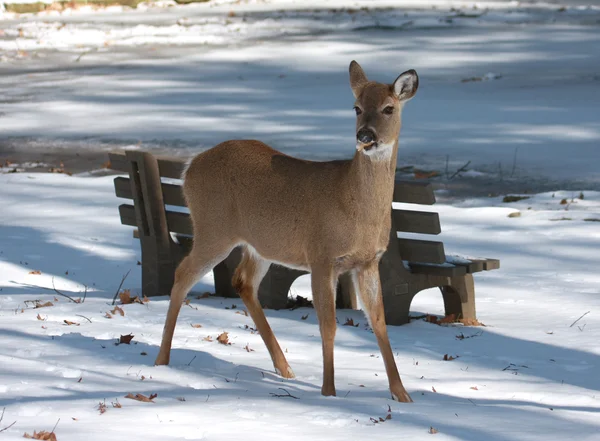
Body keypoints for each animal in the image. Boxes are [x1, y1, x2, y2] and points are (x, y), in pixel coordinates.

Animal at [155, 62, 418, 402]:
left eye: (389, 108)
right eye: (356, 107)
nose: (364, 136)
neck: (356, 207)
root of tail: (188, 167)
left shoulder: (368, 261)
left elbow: (379, 322)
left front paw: (402, 394)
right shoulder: (322, 255)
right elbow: (328, 325)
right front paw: (328, 391)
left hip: (257, 244)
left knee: (242, 282)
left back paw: (285, 368)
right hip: (213, 229)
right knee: (183, 274)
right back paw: (162, 359)